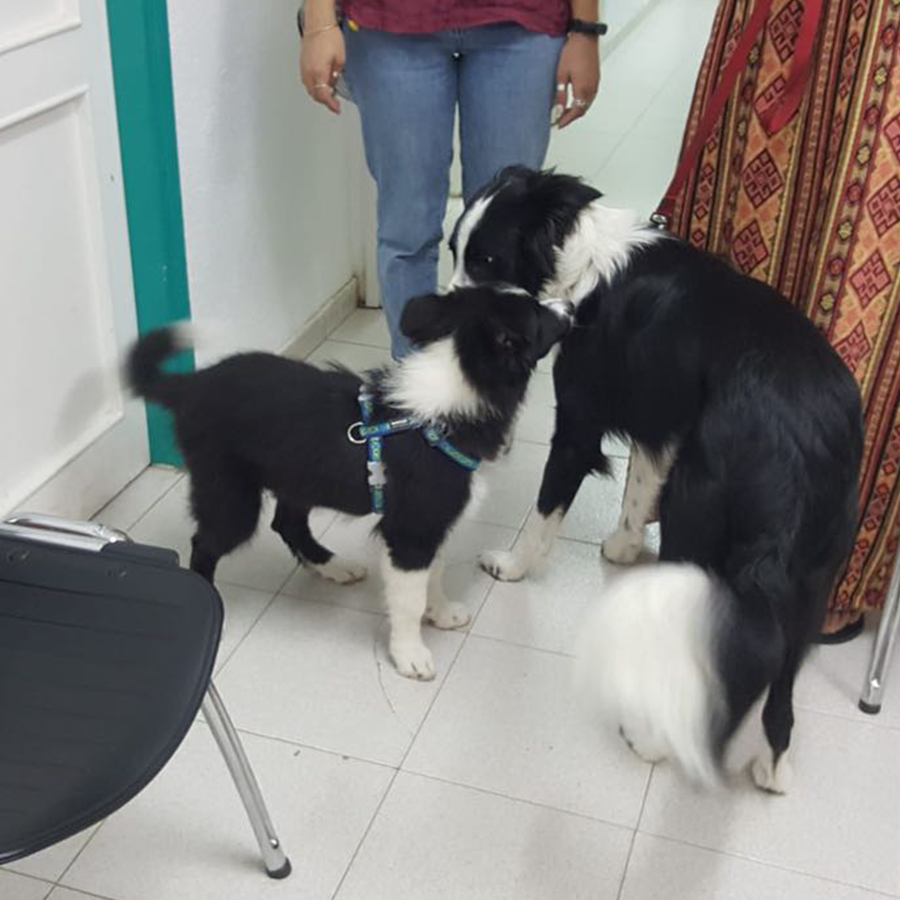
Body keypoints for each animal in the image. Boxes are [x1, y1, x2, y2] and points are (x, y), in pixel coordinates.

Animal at [126, 286, 572, 681]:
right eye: (538, 314)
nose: (570, 305)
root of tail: (190, 386)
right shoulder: (411, 532)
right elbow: (409, 598)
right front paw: (411, 655)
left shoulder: (433, 523)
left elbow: (435, 573)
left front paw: (442, 612)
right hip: (231, 494)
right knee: (206, 543)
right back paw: (211, 600)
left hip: (298, 478)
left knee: (288, 524)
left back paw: (334, 566)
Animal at [448, 166, 863, 791]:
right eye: (453, 250)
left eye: (488, 260)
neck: (579, 262)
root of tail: (799, 443)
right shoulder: (660, 420)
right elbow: (639, 483)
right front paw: (622, 548)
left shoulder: (579, 424)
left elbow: (547, 512)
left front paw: (512, 566)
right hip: (813, 570)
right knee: (783, 674)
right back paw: (773, 764)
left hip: (696, 509)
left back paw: (651, 742)